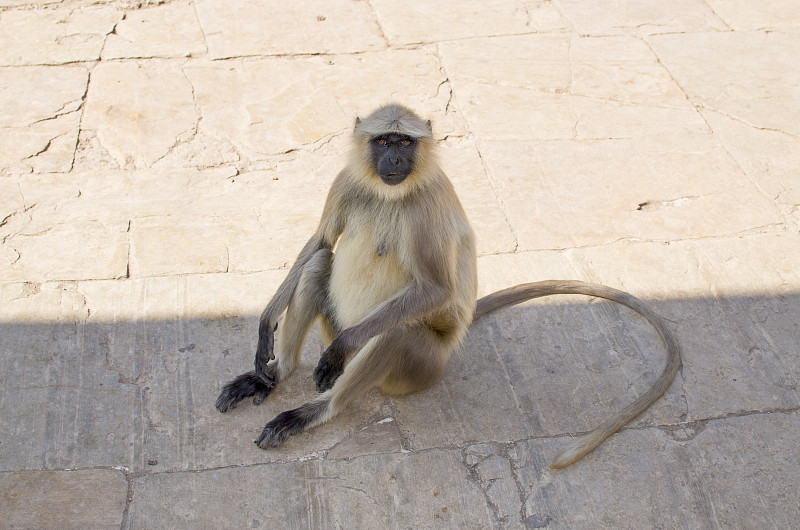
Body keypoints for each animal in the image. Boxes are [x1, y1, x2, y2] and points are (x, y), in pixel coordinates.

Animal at [216, 103, 680, 466]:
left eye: (405, 144)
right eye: (384, 142)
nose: (395, 161)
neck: (390, 193)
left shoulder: (426, 206)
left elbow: (437, 290)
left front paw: (334, 354)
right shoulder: (345, 180)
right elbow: (320, 241)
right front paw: (265, 327)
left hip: (423, 366)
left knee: (397, 332)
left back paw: (317, 409)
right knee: (318, 264)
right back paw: (275, 375)